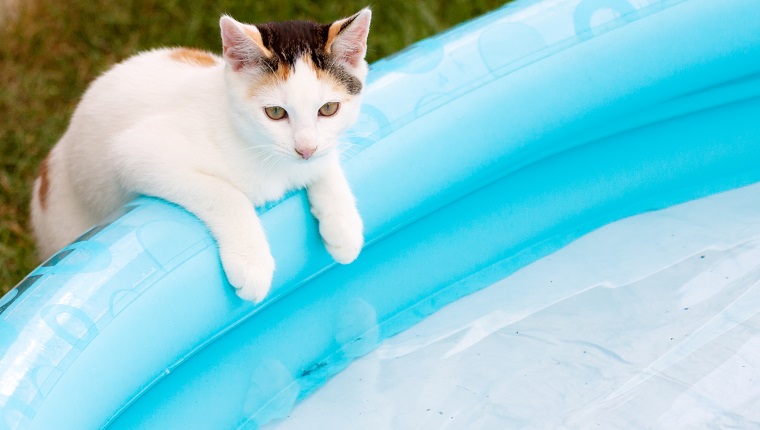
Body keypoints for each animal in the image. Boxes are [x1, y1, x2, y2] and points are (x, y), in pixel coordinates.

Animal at [29, 6, 372, 302]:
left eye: (328, 109)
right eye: (275, 112)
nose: (305, 149)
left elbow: (326, 162)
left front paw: (344, 226)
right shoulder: (134, 151)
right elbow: (226, 193)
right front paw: (252, 261)